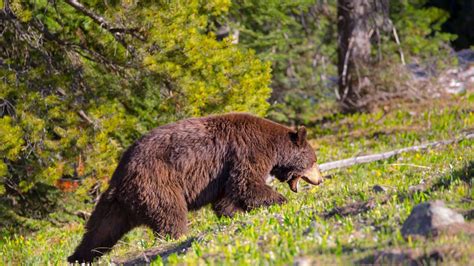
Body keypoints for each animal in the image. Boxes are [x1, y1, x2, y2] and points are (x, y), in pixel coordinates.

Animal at [67, 111, 322, 262]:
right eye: (314, 159)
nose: (321, 179)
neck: (273, 146)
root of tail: (120, 176)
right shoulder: (247, 151)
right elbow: (246, 183)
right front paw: (280, 200)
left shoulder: (222, 172)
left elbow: (226, 198)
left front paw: (234, 213)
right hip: (158, 184)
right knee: (170, 214)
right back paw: (177, 236)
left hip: (115, 204)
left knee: (101, 229)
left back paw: (78, 256)